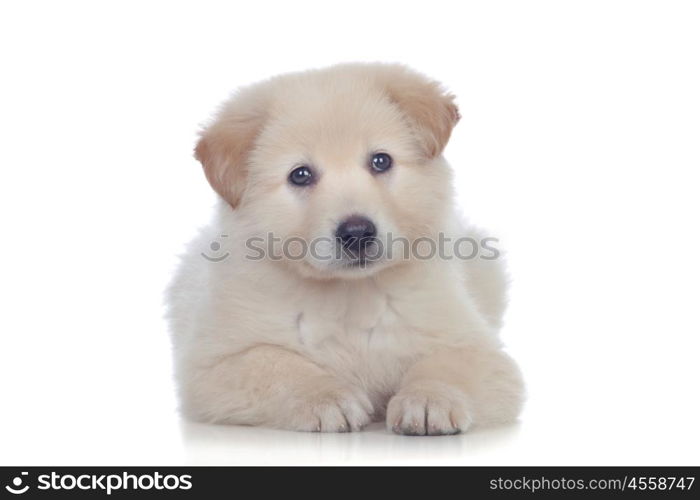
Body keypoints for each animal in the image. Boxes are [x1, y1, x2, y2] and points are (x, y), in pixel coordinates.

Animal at [167, 63, 524, 434]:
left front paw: (428, 400)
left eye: (381, 161)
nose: (357, 233)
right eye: (300, 175)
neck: (351, 295)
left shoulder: (479, 349)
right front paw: (327, 398)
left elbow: (447, 366)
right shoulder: (213, 365)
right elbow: (275, 363)